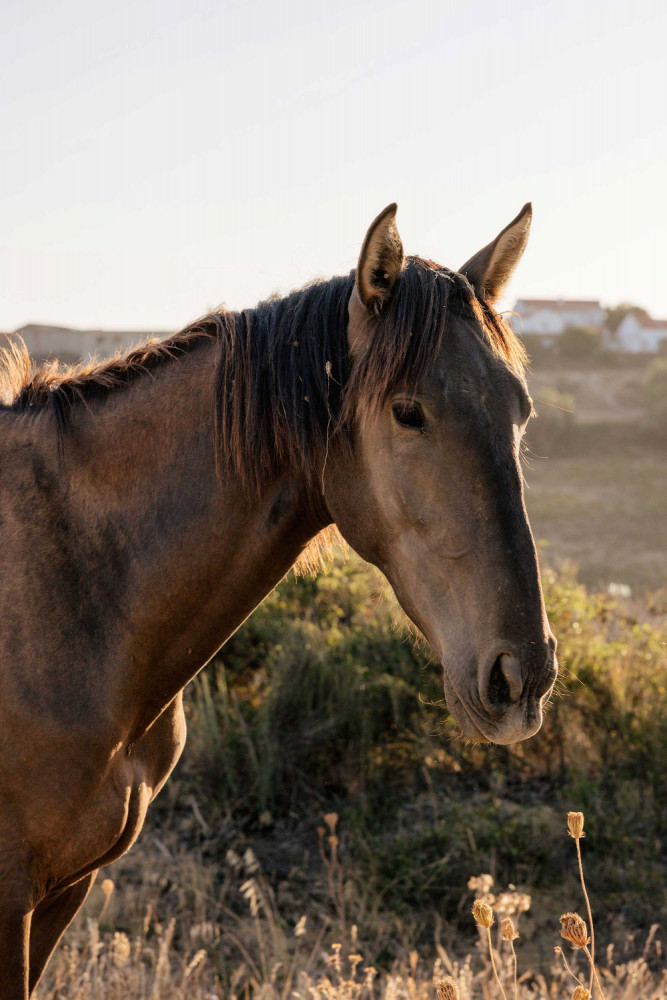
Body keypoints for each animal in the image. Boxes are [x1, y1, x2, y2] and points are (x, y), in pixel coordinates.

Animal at [0, 202, 557, 995]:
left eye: (521, 411)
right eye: (407, 411)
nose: (522, 676)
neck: (74, 584)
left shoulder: (63, 893)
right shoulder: (13, 899)